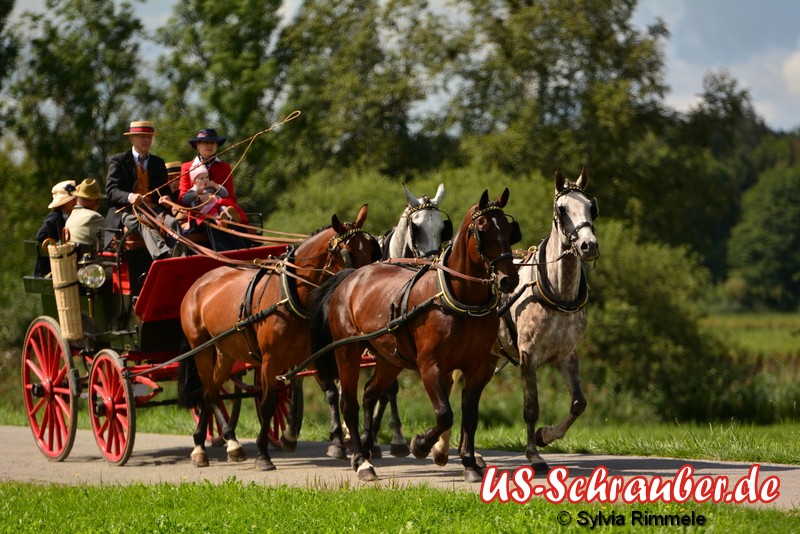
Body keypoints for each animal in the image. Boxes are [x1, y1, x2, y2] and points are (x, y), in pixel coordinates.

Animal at [178, 206, 382, 474]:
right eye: (346, 252)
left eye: (369, 248)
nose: (367, 283)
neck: (291, 293)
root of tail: (198, 283)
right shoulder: (270, 361)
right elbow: (268, 403)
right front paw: (263, 455)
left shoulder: (314, 356)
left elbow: (333, 393)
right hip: (201, 349)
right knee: (210, 393)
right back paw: (212, 446)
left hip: (225, 354)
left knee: (208, 390)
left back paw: (213, 444)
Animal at [310, 191, 520, 484]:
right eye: (482, 229)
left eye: (510, 230)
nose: (508, 280)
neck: (459, 299)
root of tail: (350, 276)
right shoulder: (431, 366)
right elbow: (445, 414)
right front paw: (420, 445)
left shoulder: (478, 367)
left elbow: (470, 415)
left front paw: (469, 462)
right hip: (347, 353)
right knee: (348, 403)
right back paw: (361, 460)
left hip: (389, 359)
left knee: (370, 393)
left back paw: (367, 447)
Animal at [428, 168, 596, 474]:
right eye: (562, 209)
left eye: (592, 206)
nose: (589, 245)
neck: (557, 291)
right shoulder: (528, 355)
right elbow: (531, 407)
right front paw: (534, 455)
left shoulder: (566, 354)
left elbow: (579, 403)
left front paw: (545, 436)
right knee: (451, 388)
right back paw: (442, 449)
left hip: (488, 356)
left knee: (467, 395)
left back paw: (470, 454)